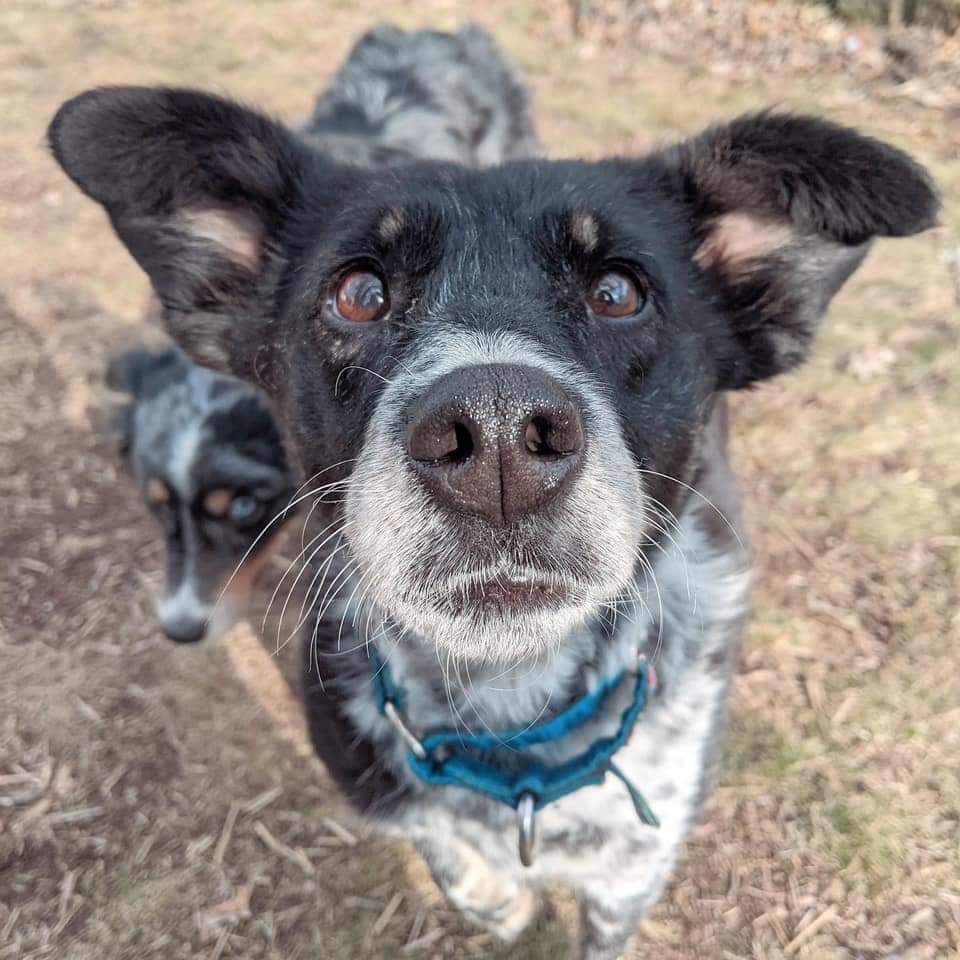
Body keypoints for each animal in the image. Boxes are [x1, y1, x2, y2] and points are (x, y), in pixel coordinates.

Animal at [47, 28, 936, 952]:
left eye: (618, 291)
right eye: (358, 293)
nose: (497, 434)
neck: (507, 712)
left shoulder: (631, 872)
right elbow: (442, 844)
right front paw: (494, 893)